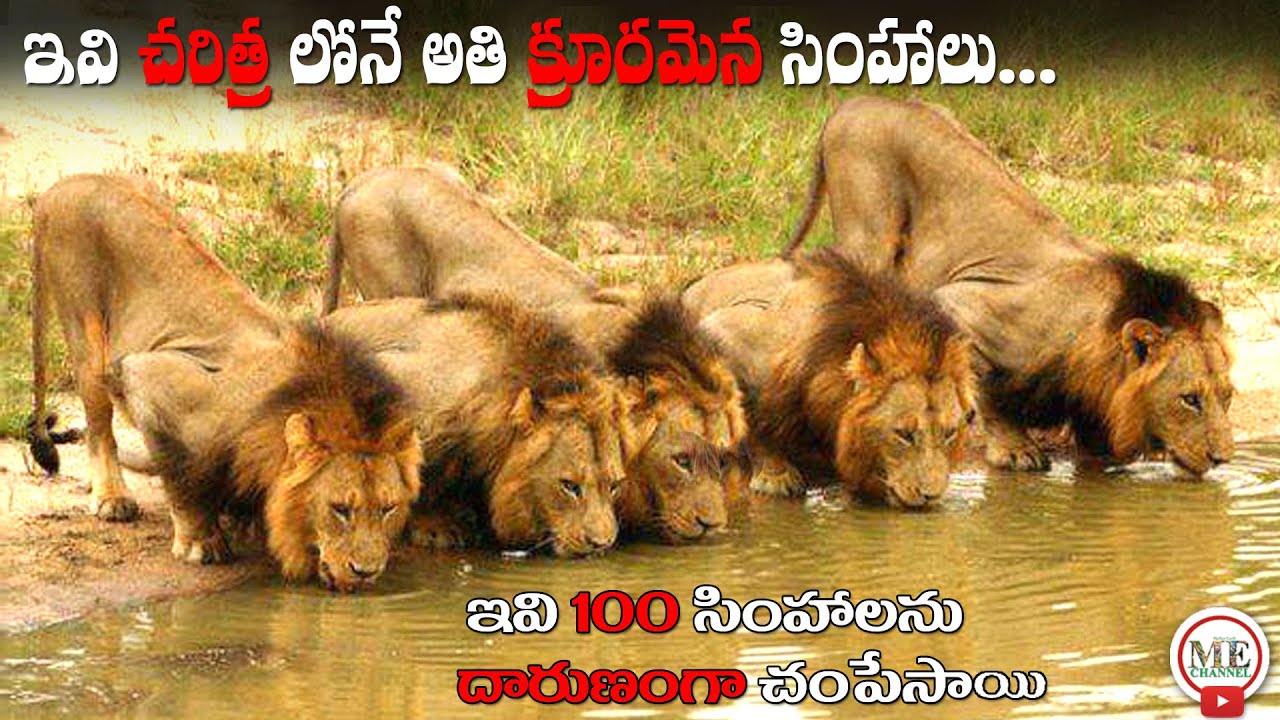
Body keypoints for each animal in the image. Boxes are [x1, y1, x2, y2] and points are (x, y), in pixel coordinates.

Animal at [28, 174, 422, 592]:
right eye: (340, 509)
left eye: (387, 508)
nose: (367, 572)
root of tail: (66, 185)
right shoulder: (149, 376)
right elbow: (182, 477)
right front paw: (202, 542)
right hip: (87, 334)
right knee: (100, 426)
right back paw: (112, 499)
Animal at [685, 248, 977, 507]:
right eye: (903, 434)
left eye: (950, 433)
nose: (931, 496)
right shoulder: (725, 330)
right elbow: (752, 416)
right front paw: (776, 476)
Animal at [782, 97, 1235, 475]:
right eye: (1190, 399)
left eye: (1227, 396)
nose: (1223, 459)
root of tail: (853, 103)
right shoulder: (963, 305)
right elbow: (992, 394)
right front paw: (1017, 451)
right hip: (870, 234)